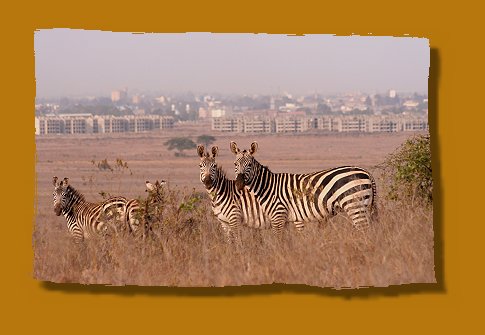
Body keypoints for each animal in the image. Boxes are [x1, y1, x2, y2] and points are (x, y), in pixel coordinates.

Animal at [231, 142, 378, 234]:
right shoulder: (287, 219)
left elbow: (279, 241)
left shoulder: (278, 216)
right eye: (235, 164)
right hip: (363, 206)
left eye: (249, 164)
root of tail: (367, 172)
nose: (239, 184)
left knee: (364, 230)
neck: (268, 187)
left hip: (354, 205)